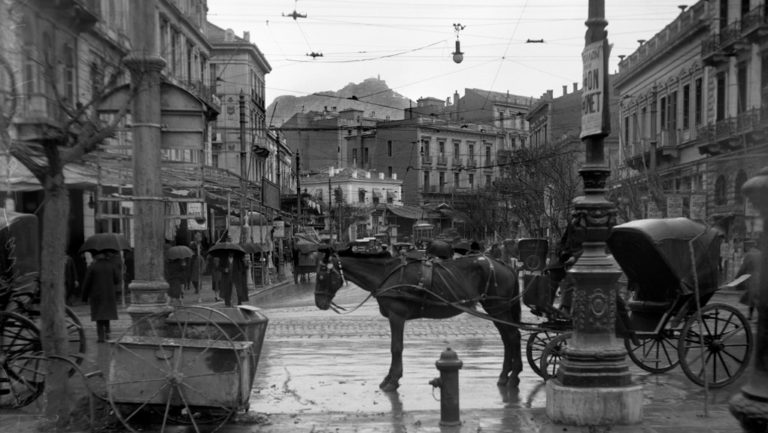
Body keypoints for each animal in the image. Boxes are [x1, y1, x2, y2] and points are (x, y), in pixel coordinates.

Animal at [314, 246, 520, 392]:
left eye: (322, 276)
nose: (319, 303)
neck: (387, 274)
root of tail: (504, 264)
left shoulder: (396, 316)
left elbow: (396, 347)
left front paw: (392, 380)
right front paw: (390, 378)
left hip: (497, 308)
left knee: (512, 336)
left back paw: (512, 375)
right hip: (497, 309)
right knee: (508, 338)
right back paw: (507, 376)